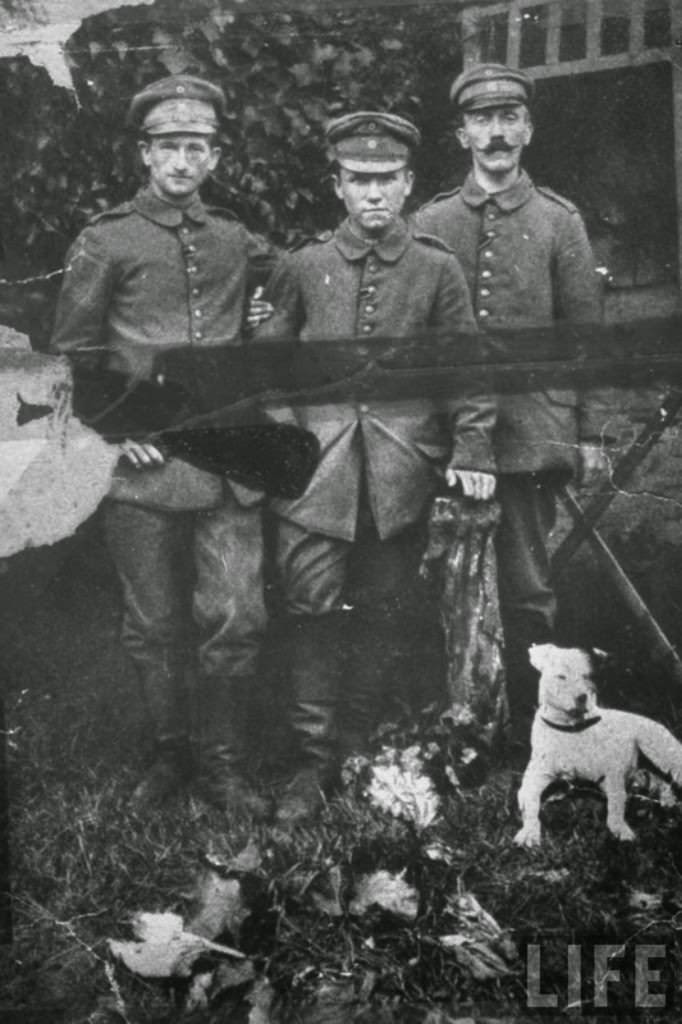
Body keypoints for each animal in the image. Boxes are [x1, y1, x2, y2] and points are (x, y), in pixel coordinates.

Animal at [512, 647, 679, 847]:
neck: (570, 728)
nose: (582, 697)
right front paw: (529, 832)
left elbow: (616, 801)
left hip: (662, 753)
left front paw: (620, 829)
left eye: (587, 676)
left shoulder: (611, 774)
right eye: (561, 676)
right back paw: (667, 800)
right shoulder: (536, 776)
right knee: (662, 782)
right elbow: (529, 800)